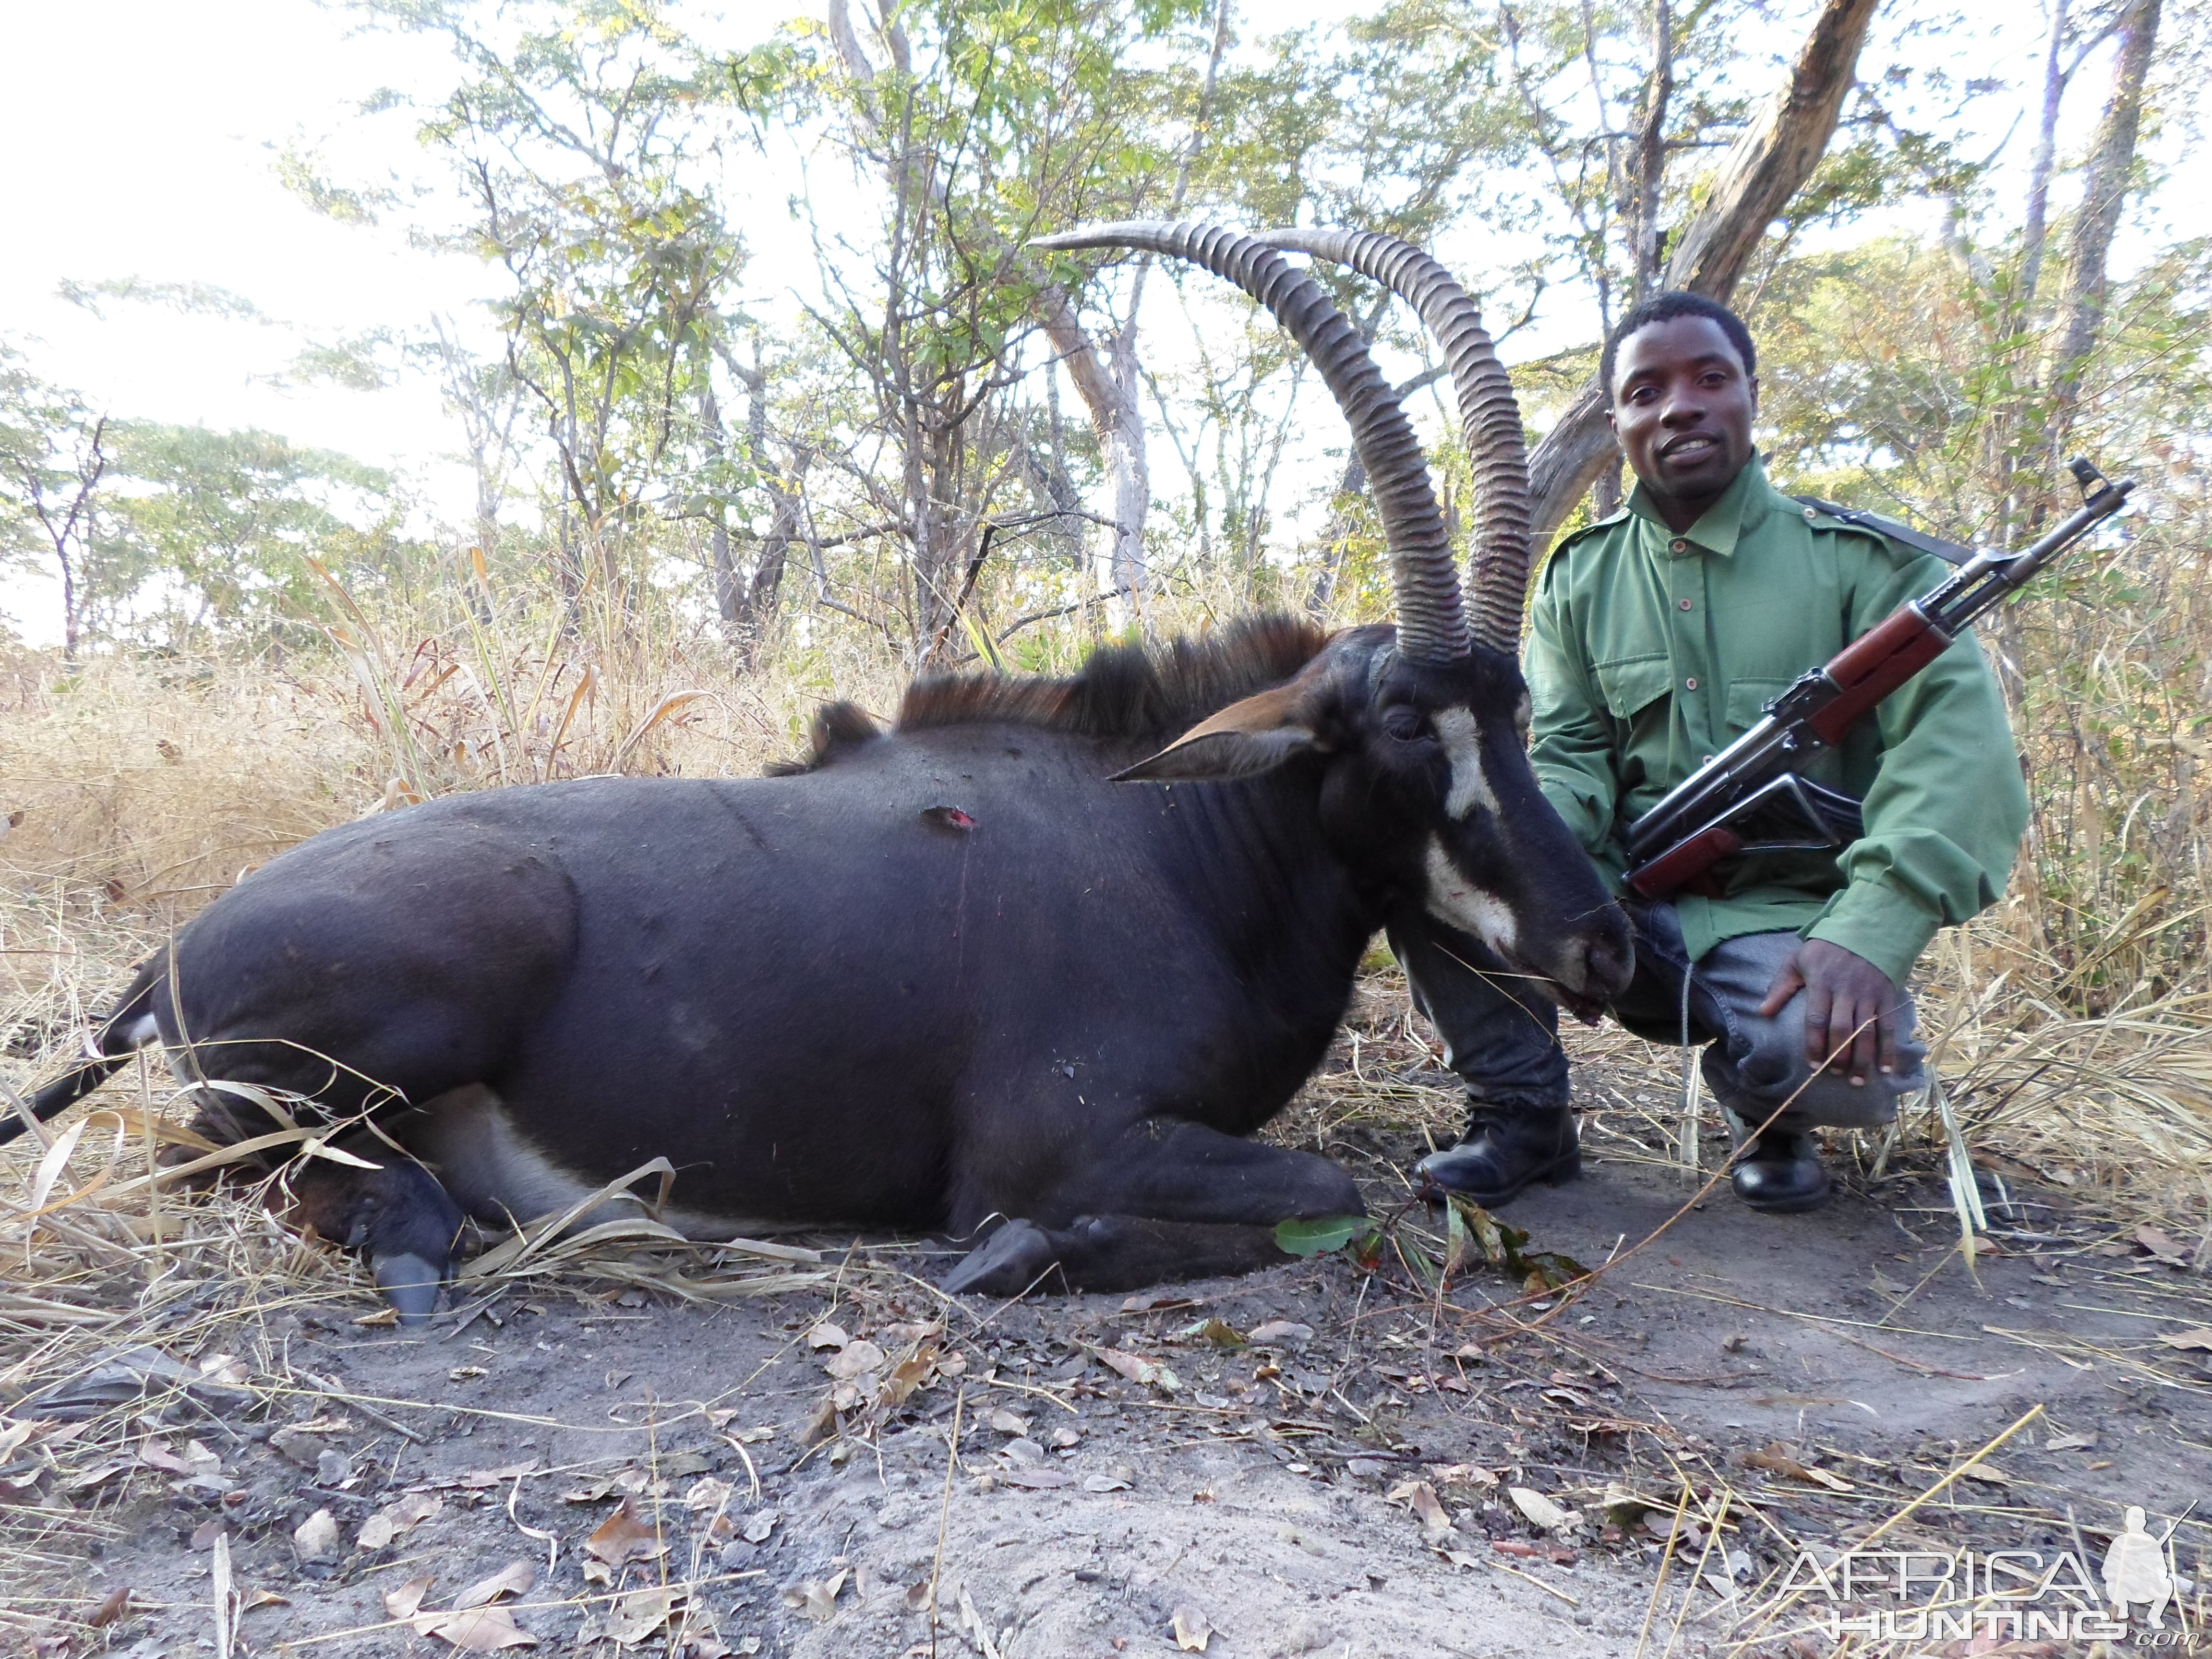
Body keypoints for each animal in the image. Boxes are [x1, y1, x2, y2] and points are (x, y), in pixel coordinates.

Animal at [9, 221, 1636, 1318]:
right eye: (1404, 728)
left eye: (1516, 706)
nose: (1604, 943)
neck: (1177, 846)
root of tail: (168, 953)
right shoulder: (1055, 1142)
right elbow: (1330, 1190)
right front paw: (1020, 1254)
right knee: (209, 1149)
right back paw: (437, 1233)